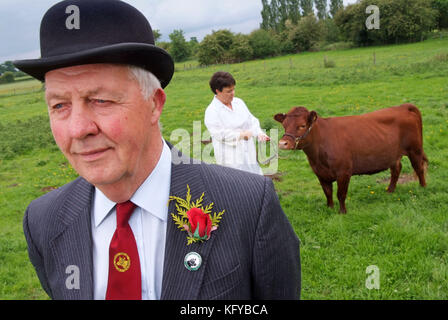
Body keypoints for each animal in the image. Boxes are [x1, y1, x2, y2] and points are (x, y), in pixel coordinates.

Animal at [274, 104, 428, 214]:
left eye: (302, 125)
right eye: (284, 125)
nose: (282, 143)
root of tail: (403, 106)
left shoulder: (344, 172)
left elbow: (341, 194)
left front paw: (342, 212)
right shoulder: (320, 174)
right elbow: (328, 192)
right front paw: (329, 208)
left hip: (415, 150)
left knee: (419, 168)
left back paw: (423, 188)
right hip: (392, 154)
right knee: (396, 169)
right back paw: (390, 190)